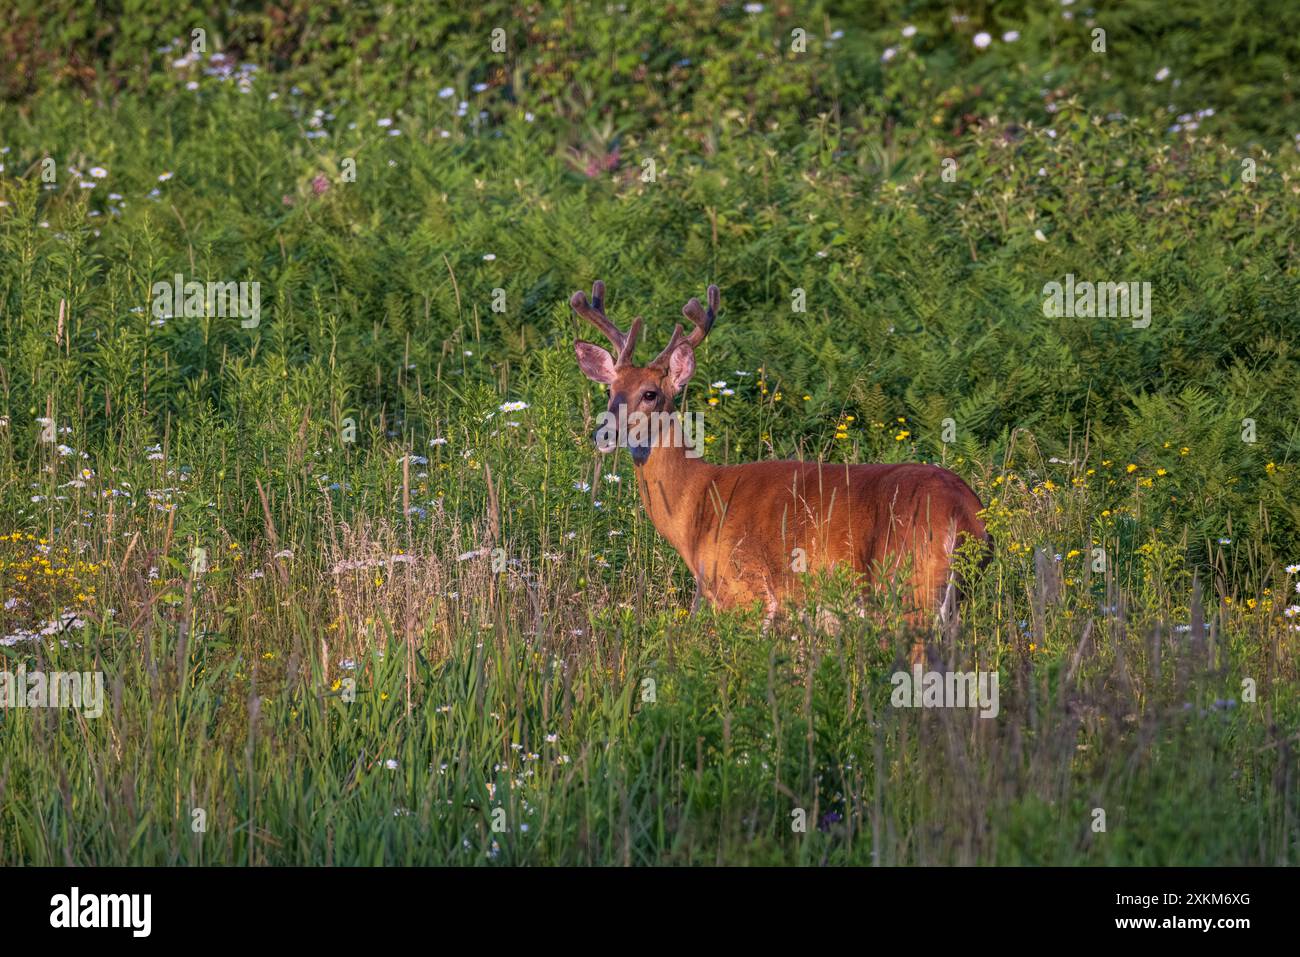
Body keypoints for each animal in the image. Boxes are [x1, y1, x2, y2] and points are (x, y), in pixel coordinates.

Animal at [574, 276, 987, 647]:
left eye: (650, 393)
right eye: (610, 390)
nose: (603, 434)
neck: (699, 500)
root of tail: (964, 511)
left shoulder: (746, 592)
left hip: (908, 588)